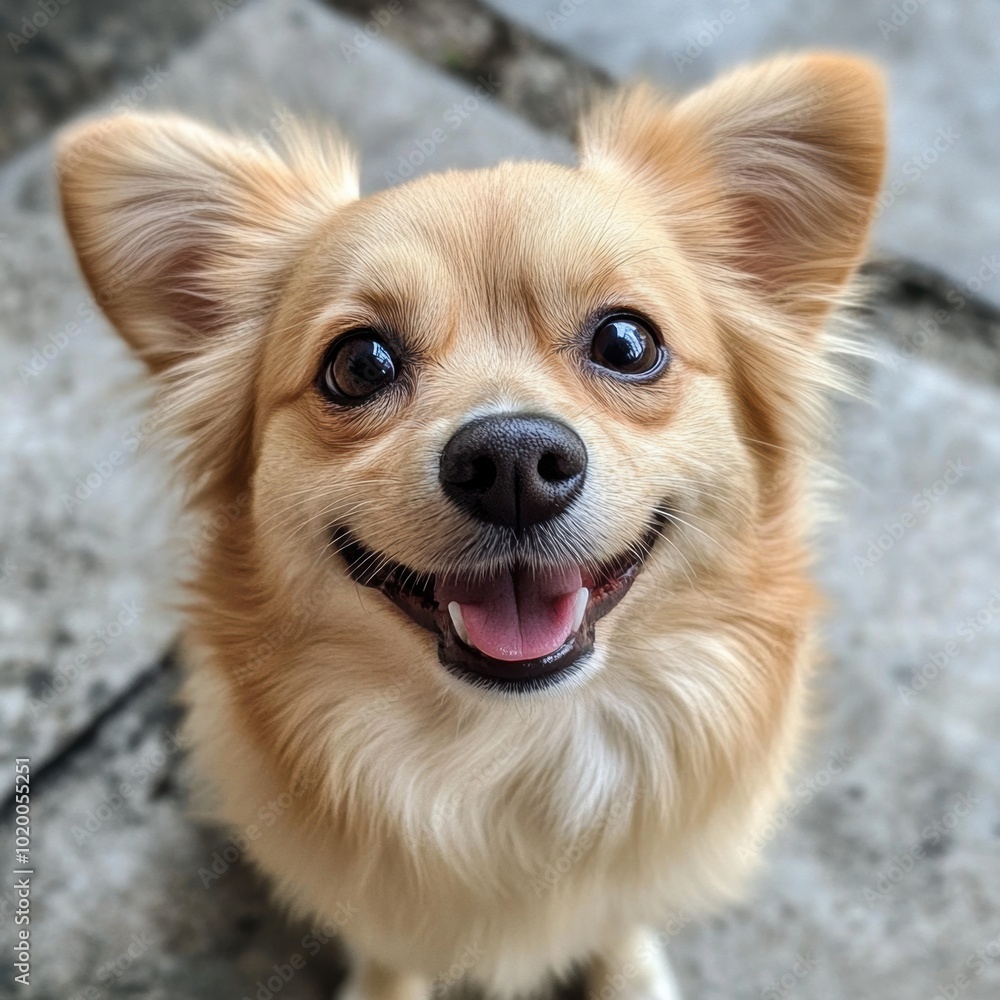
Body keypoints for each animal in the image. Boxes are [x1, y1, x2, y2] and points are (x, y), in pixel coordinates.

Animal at [58, 52, 885, 1000]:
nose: (513, 461)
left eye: (627, 343)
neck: (512, 757)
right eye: (359, 364)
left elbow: (620, 917)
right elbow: (391, 953)